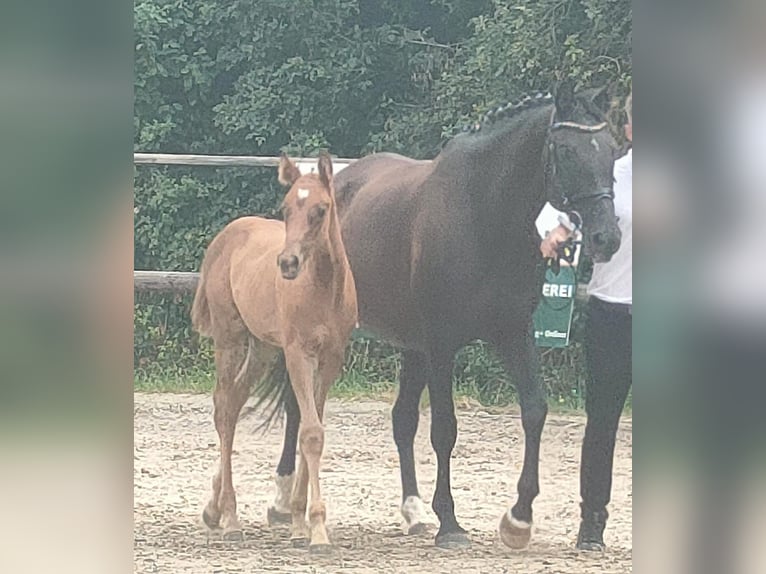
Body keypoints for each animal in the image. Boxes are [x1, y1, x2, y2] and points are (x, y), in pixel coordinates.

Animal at [192, 152, 360, 552]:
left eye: (320, 209)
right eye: (285, 209)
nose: (287, 264)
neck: (323, 288)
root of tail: (224, 237)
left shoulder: (330, 360)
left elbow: (311, 429)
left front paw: (300, 524)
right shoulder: (298, 353)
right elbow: (310, 431)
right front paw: (315, 530)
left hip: (263, 348)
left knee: (235, 400)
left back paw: (213, 510)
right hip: (230, 338)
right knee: (224, 409)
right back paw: (230, 519)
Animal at [270, 83, 624, 552]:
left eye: (612, 150)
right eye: (565, 150)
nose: (607, 237)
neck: (483, 214)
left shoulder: (512, 331)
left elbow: (534, 410)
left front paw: (519, 518)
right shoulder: (442, 343)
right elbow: (445, 428)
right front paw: (451, 523)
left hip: (410, 345)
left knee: (401, 420)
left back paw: (413, 512)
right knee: (298, 407)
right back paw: (282, 499)